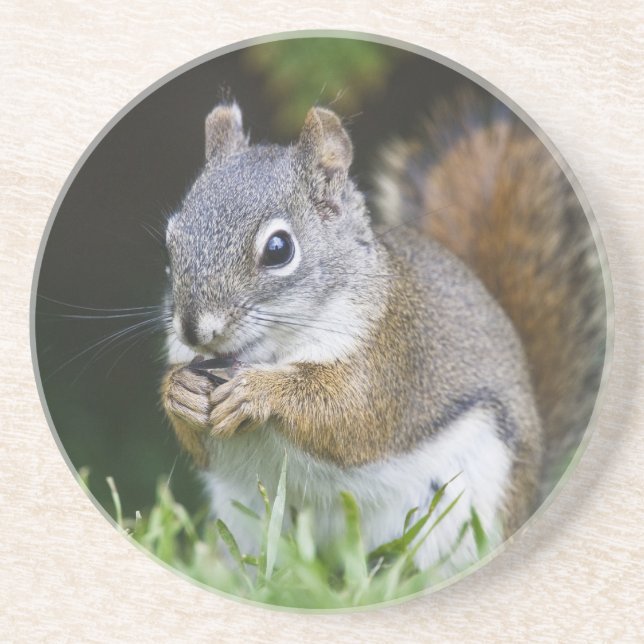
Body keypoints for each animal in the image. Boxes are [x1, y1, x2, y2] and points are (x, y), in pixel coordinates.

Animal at [160, 90, 606, 570]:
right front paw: (180, 392)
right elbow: (199, 444)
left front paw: (257, 393)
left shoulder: (391, 358)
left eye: (279, 249)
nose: (193, 330)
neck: (270, 352)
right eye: (171, 240)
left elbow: (349, 416)